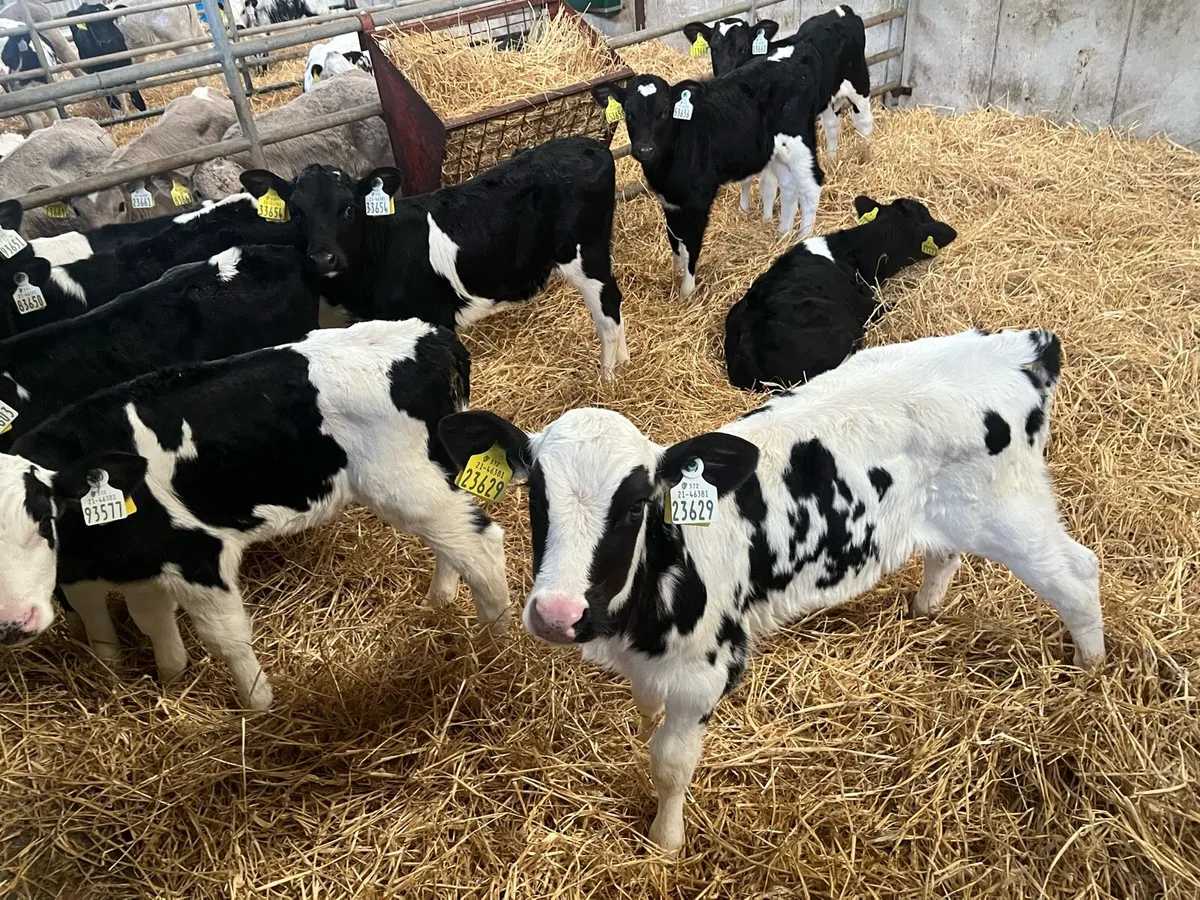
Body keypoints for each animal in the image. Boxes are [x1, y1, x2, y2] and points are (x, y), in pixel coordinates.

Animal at [0, 319, 510, 710]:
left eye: (43, 518)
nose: (13, 624)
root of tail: (434, 337)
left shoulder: (198, 554)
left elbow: (225, 638)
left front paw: (259, 707)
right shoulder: (143, 563)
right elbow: (150, 623)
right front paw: (169, 680)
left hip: (408, 486)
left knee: (484, 546)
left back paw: (497, 648)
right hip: (431, 484)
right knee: (457, 544)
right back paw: (441, 601)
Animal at [239, 136, 628, 379]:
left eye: (349, 209)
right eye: (296, 213)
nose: (323, 258)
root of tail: (590, 145)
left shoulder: (434, 318)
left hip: (585, 255)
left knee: (607, 307)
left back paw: (608, 377)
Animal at [438, 327, 1105, 854]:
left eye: (635, 505)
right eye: (535, 496)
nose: (557, 614)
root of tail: (1021, 348)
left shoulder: (705, 671)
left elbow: (671, 763)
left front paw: (665, 842)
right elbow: (647, 710)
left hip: (1013, 512)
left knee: (1078, 574)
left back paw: (1091, 674)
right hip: (955, 512)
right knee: (946, 550)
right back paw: (925, 608)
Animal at [594, 61, 823, 298]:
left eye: (665, 111)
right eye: (628, 112)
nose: (645, 149)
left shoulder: (698, 201)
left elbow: (691, 243)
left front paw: (687, 291)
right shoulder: (669, 201)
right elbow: (674, 237)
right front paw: (676, 274)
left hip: (799, 142)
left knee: (811, 186)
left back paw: (803, 236)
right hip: (776, 152)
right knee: (789, 187)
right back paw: (783, 234)